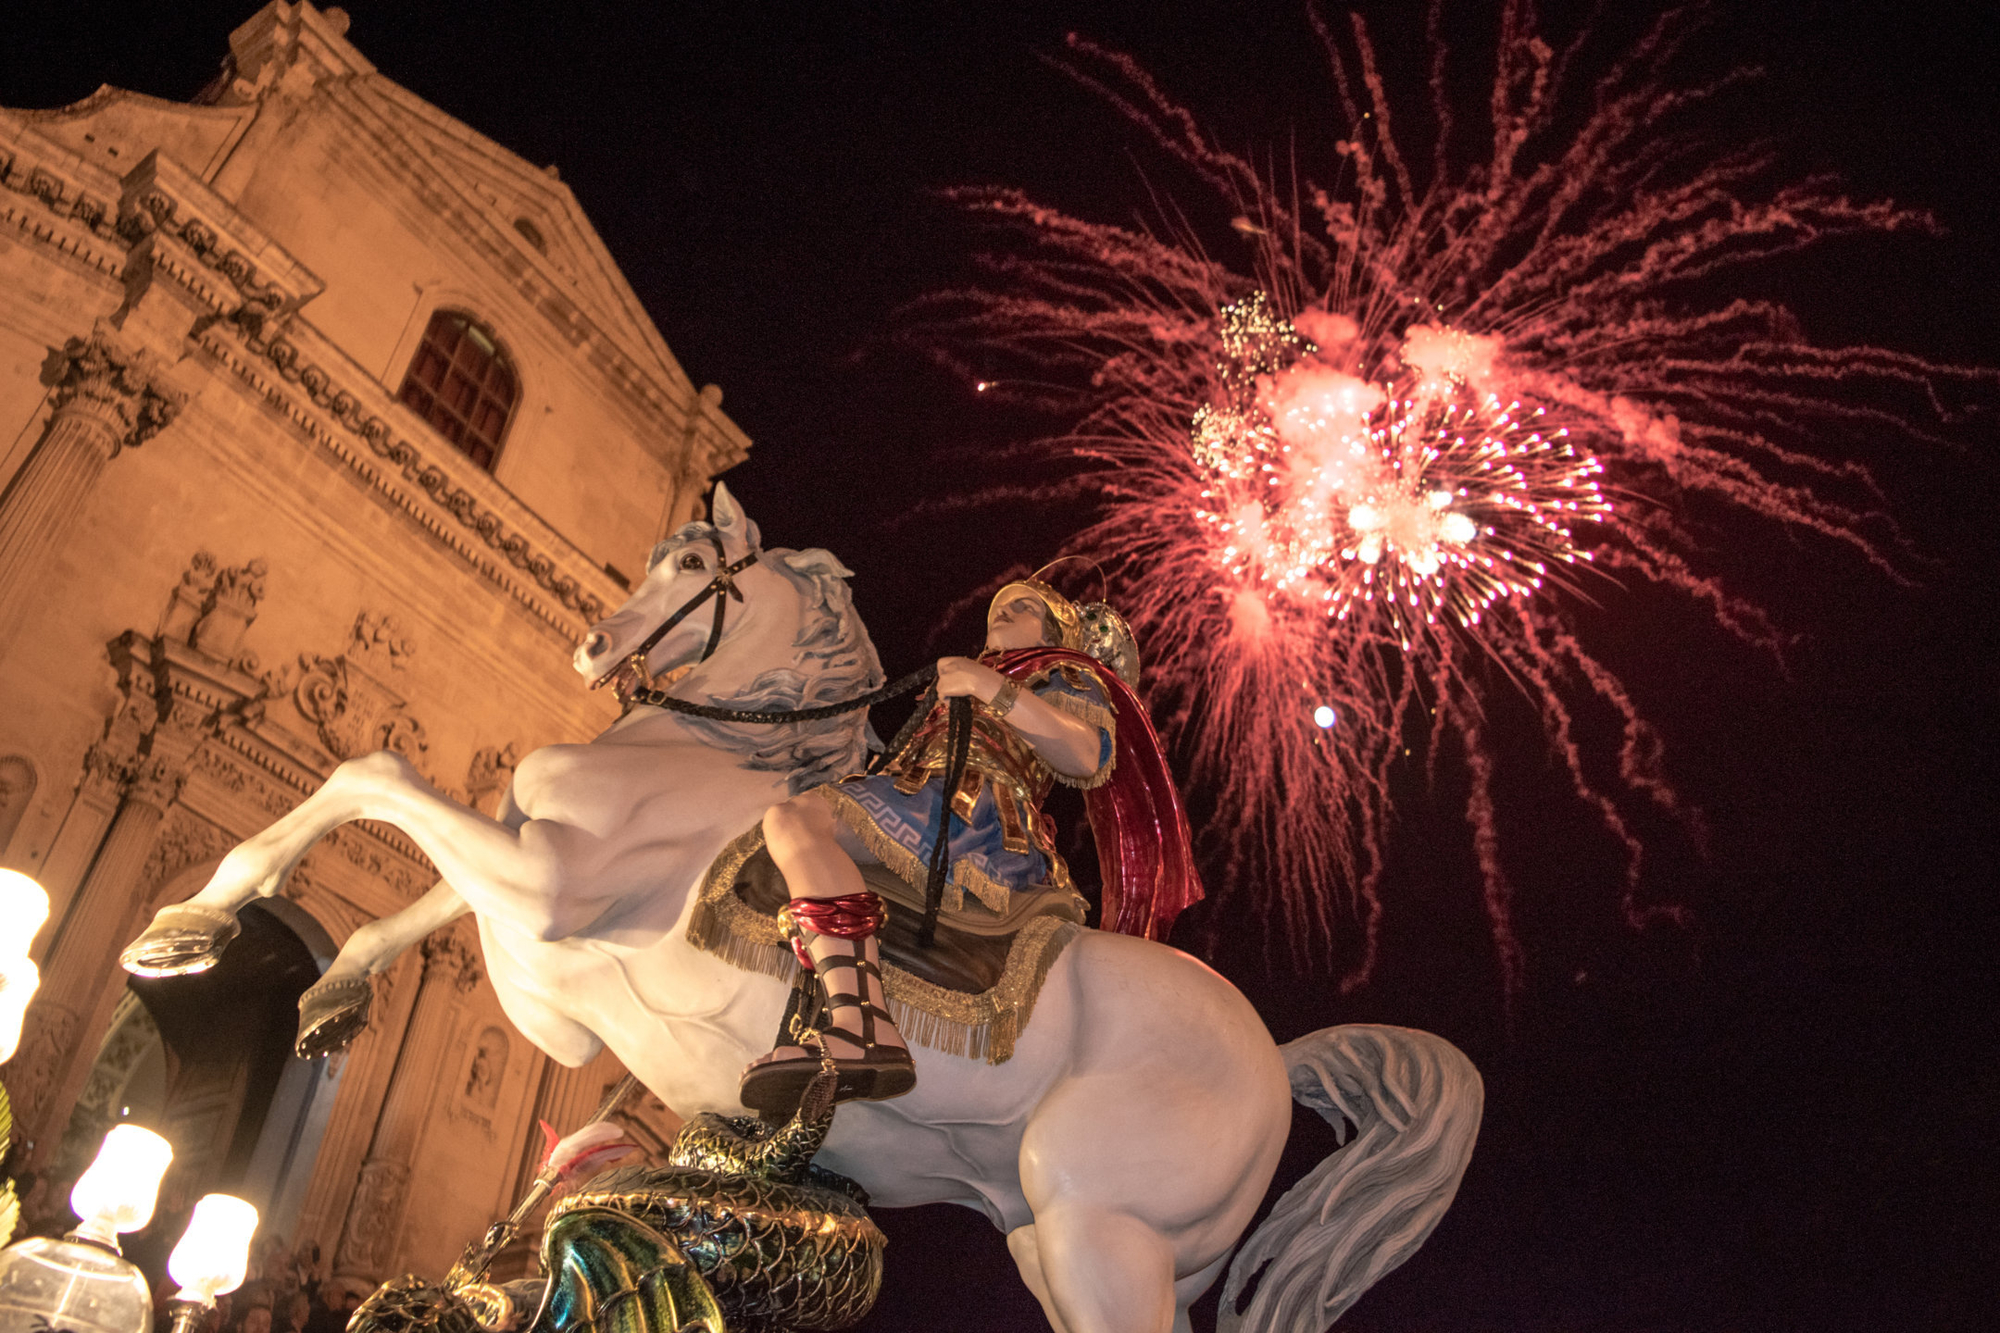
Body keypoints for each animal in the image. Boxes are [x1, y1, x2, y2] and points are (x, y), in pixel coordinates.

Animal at [121, 486, 1472, 1328]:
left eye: (692, 566)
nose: (593, 647)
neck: (709, 752)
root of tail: (1274, 1057)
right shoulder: (535, 903)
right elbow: (404, 898)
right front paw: (306, 981)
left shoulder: (548, 886)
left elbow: (375, 776)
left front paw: (183, 925)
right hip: (1066, 1244)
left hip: (1105, 1231)